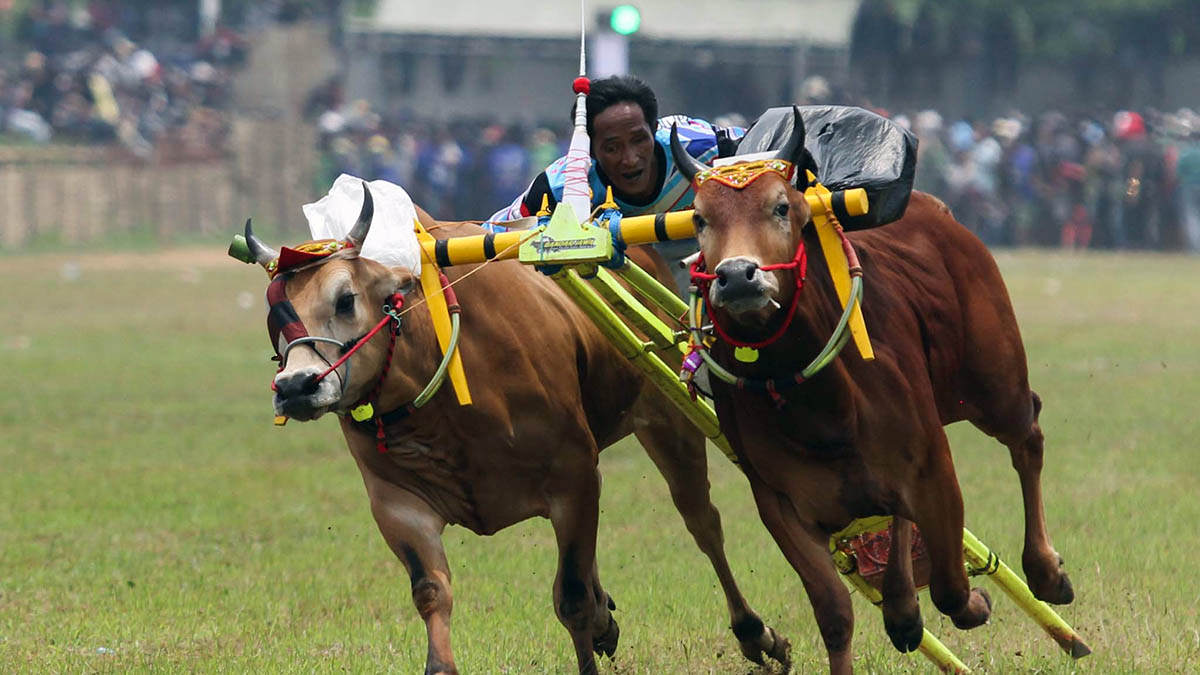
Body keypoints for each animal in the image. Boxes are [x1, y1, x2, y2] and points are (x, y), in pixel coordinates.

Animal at [240, 189, 792, 672]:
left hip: (667, 416)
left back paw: (755, 635)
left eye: (346, 298)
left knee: (703, 523)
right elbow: (431, 592)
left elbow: (571, 597)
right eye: (275, 312)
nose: (296, 386)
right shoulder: (398, 504)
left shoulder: (574, 475)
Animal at [672, 111, 1075, 672]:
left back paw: (1045, 572)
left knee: (1027, 435)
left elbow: (951, 588)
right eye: (700, 218)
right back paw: (903, 605)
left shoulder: (933, 468)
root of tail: (939, 211)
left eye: (781, 206)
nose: (737, 277)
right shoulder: (779, 501)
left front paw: (978, 601)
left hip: (994, 384)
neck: (819, 406)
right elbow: (835, 615)